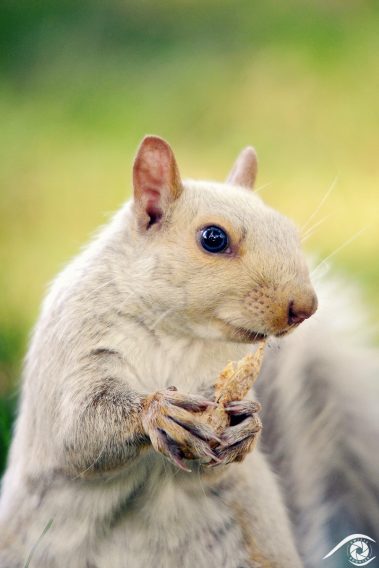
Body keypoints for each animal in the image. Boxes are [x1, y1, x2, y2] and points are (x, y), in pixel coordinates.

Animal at [0, 138, 379, 568]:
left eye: (290, 231)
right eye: (213, 238)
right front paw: (159, 411)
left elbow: (215, 465)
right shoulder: (74, 349)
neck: (177, 333)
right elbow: (77, 430)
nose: (305, 307)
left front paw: (248, 426)